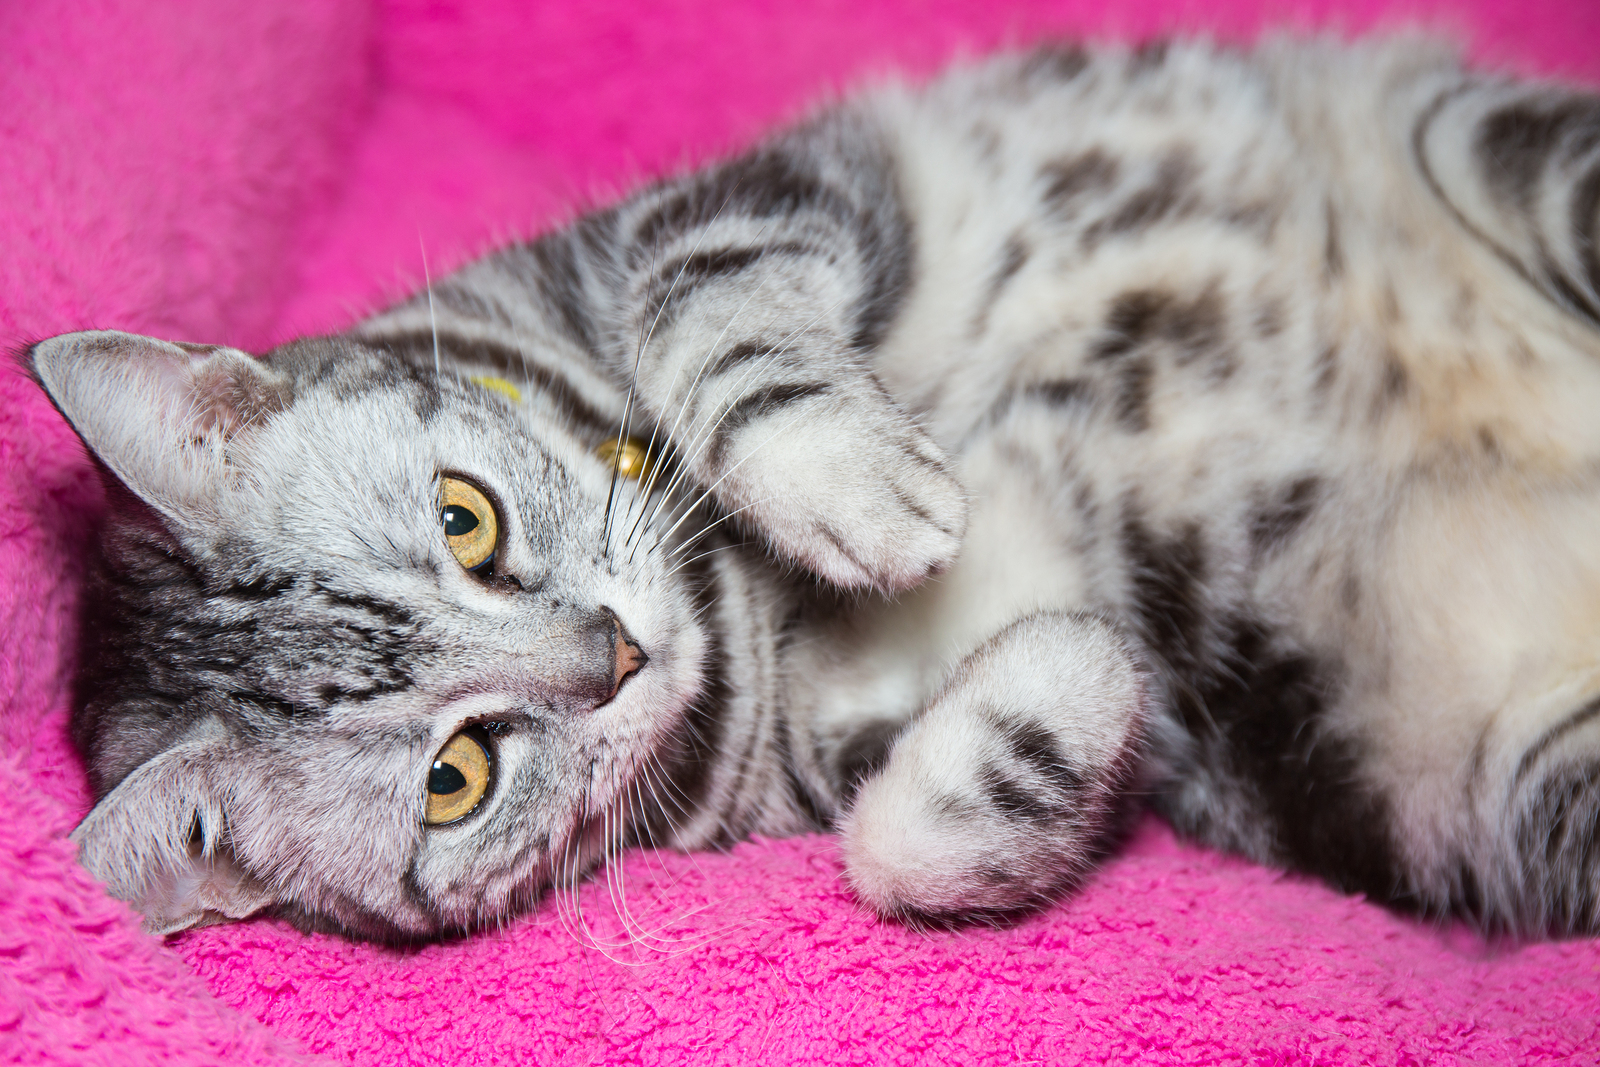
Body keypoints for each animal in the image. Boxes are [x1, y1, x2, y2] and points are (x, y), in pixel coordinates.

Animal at [25, 33, 1600, 940]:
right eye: (456, 774)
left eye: (467, 521)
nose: (614, 653)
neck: (743, 605)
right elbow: (896, 846)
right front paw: (1064, 680)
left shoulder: (729, 207)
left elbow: (700, 309)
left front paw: (849, 479)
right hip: (1516, 785)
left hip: (1511, 166)